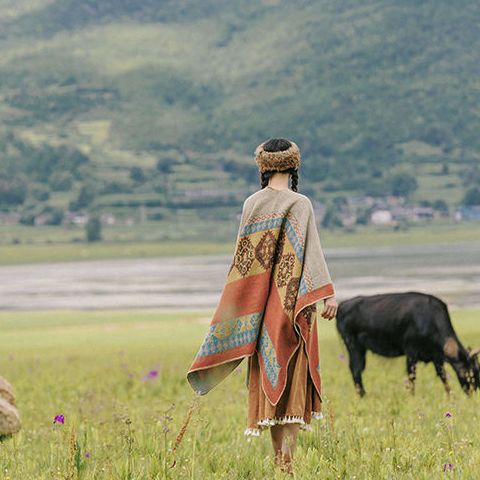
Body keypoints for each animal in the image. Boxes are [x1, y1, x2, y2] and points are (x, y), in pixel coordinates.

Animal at [336, 292, 478, 398]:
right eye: (471, 373)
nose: (474, 392)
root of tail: (343, 305)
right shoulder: (411, 352)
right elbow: (412, 377)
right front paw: (412, 397)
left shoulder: (436, 357)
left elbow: (443, 376)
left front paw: (450, 396)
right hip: (353, 345)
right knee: (356, 369)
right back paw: (363, 396)